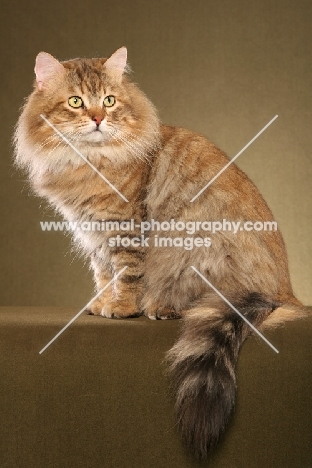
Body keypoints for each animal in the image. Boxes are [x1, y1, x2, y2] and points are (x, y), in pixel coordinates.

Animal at [13, 48, 308, 460]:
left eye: (109, 101)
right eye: (75, 102)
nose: (98, 119)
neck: (88, 161)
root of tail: (284, 293)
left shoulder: (123, 225)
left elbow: (126, 271)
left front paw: (122, 308)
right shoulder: (94, 232)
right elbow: (102, 272)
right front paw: (100, 304)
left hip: (199, 252)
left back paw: (161, 308)